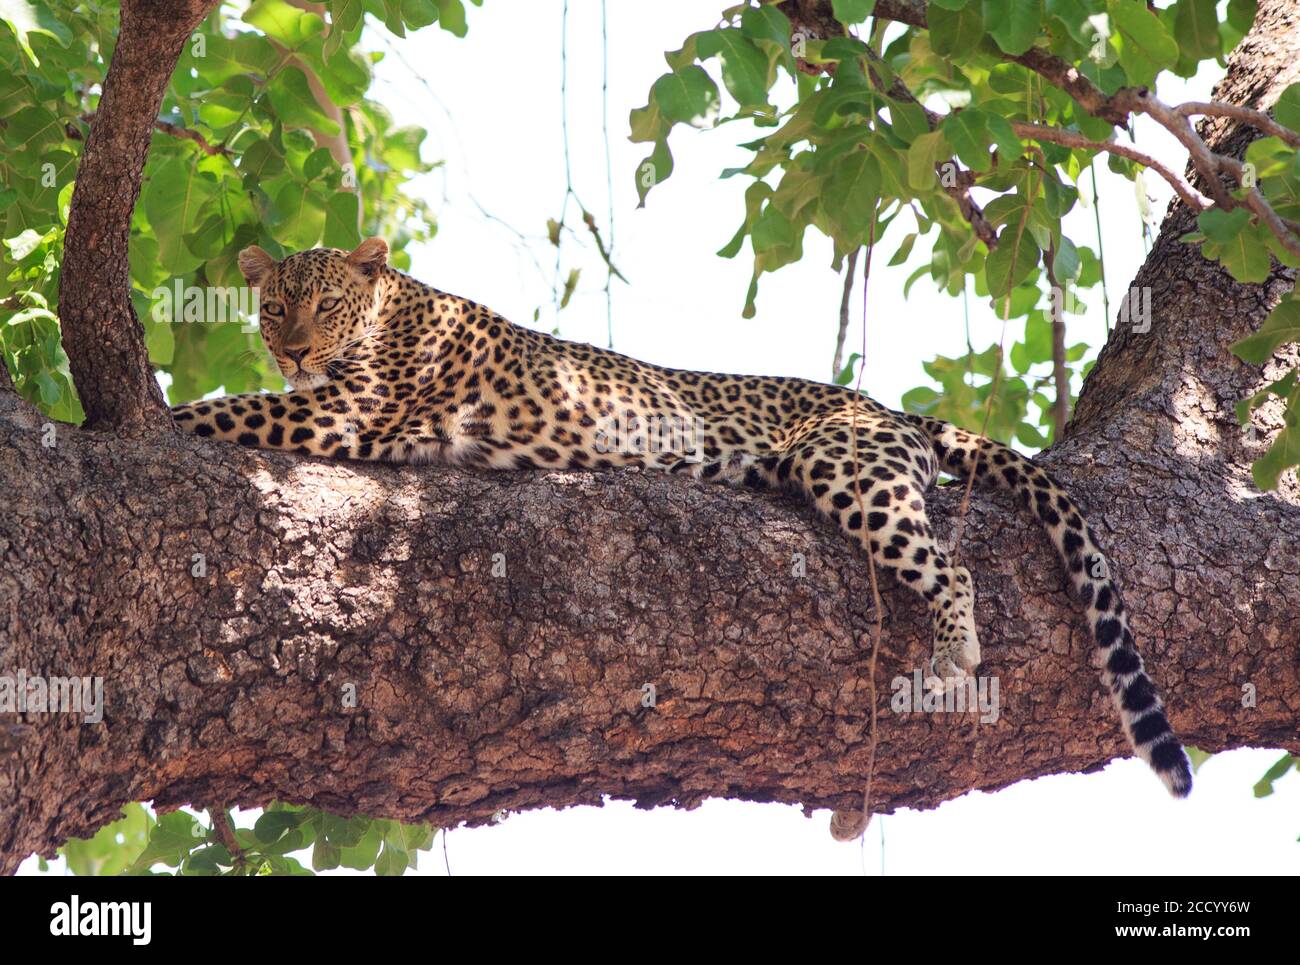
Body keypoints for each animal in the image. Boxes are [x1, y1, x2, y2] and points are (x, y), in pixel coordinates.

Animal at [172, 237, 1194, 827]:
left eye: (324, 305)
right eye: (273, 305)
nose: (292, 346)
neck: (391, 312)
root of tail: (879, 404)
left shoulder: (344, 410)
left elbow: (222, 411)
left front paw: (147, 419)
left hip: (847, 467)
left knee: (952, 567)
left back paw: (955, 650)